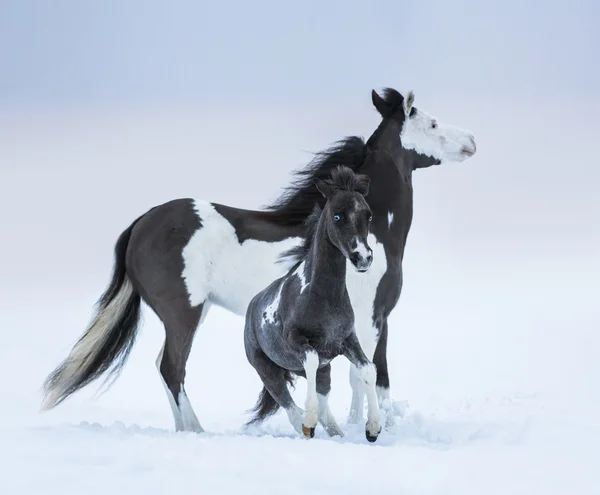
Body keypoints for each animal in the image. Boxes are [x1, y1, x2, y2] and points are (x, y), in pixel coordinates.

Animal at [244, 167, 380, 442]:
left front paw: (373, 429)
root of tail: (252, 307)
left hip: (321, 373)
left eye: (368, 215)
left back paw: (336, 434)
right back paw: (306, 426)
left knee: (323, 403)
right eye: (337, 216)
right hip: (267, 371)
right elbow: (312, 362)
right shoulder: (297, 341)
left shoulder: (347, 340)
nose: (363, 257)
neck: (323, 297)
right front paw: (309, 423)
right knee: (289, 407)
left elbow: (368, 369)